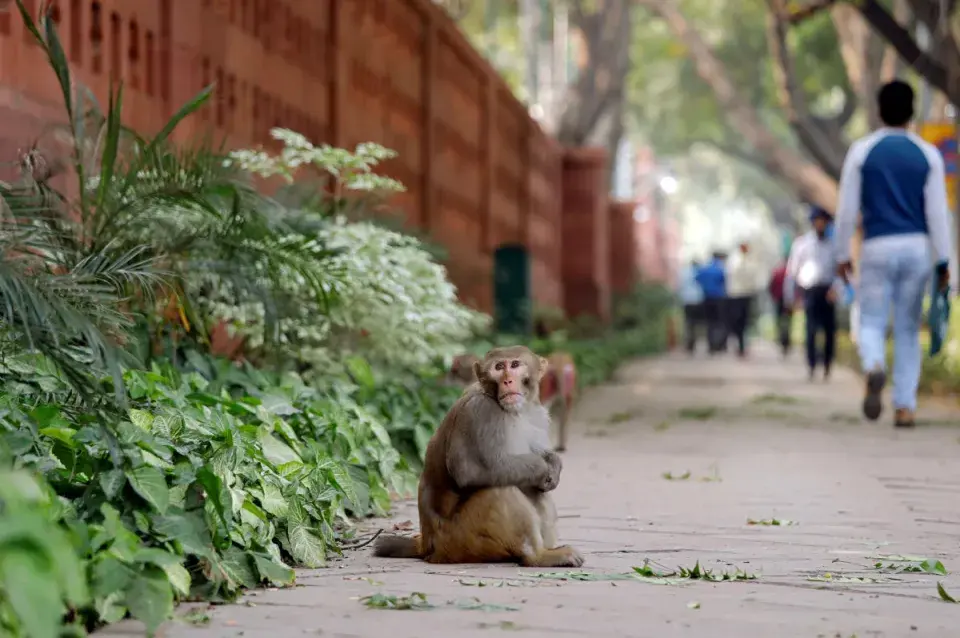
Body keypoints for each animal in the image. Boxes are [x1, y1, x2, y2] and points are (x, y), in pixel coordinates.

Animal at [376, 348, 584, 568]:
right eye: (499, 367)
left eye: (515, 365)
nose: (508, 380)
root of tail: (426, 543)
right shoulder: (480, 411)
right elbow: (470, 472)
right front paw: (543, 468)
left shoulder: (537, 414)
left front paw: (553, 464)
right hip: (461, 541)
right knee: (500, 490)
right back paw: (538, 556)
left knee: (534, 492)